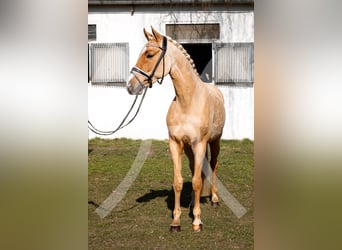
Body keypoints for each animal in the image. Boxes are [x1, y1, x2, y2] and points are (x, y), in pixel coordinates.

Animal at [127, 27, 226, 232]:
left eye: (149, 54)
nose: (130, 86)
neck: (187, 102)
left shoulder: (200, 144)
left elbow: (196, 182)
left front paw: (197, 221)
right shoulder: (175, 144)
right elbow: (179, 182)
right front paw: (176, 221)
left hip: (214, 141)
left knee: (213, 165)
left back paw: (213, 199)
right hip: (189, 149)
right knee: (196, 169)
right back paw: (192, 204)